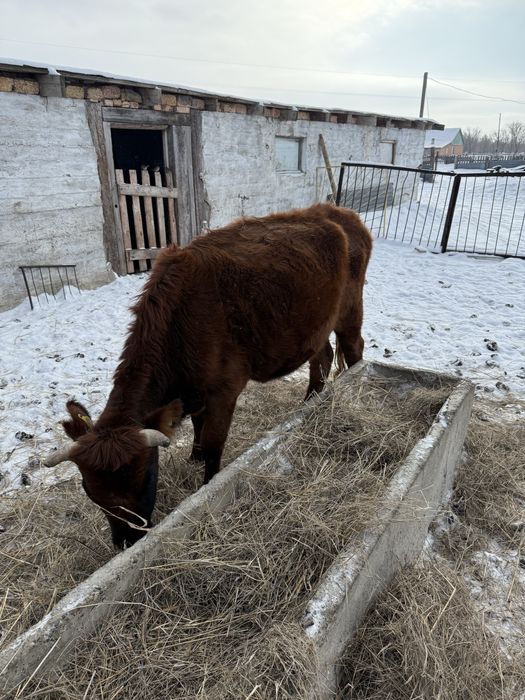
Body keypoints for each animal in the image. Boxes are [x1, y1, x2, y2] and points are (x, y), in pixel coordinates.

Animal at [44, 203, 372, 548]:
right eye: (91, 492)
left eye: (146, 478)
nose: (126, 542)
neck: (181, 323)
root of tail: (335, 210)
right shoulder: (195, 392)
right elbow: (198, 429)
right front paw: (194, 457)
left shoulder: (223, 390)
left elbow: (215, 443)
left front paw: (207, 484)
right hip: (316, 323)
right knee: (321, 357)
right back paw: (309, 403)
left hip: (350, 308)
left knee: (354, 349)